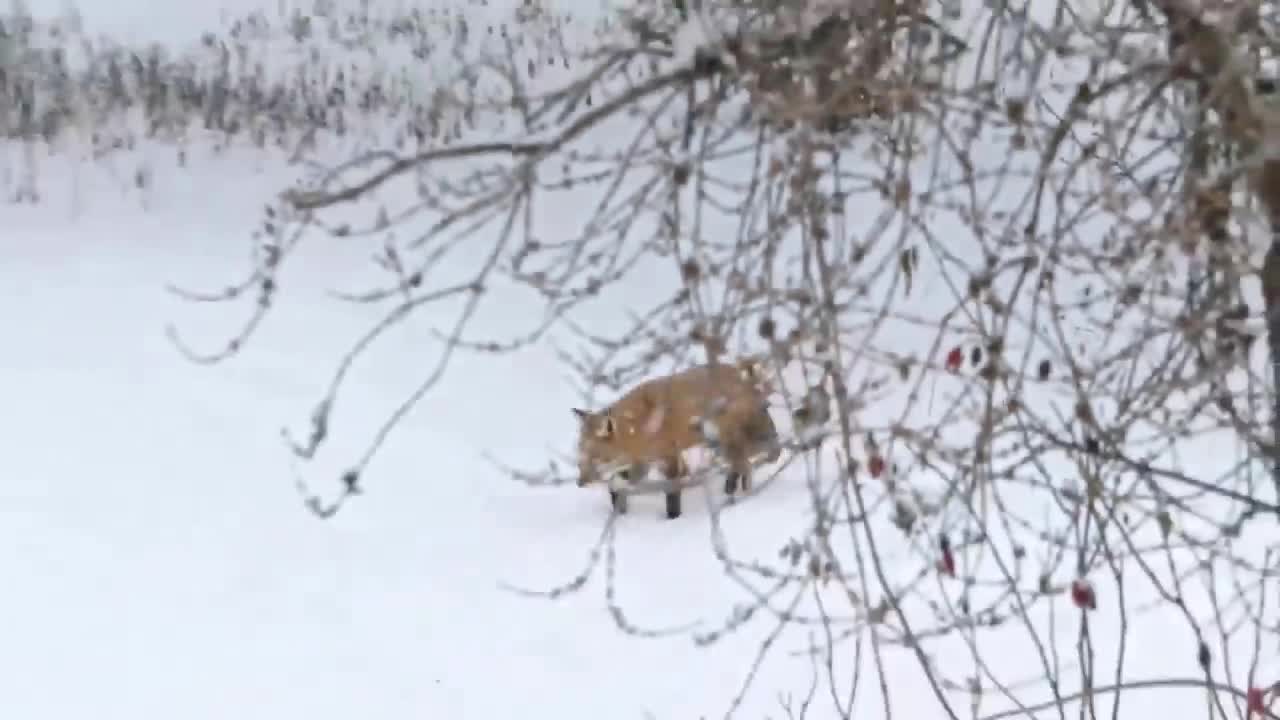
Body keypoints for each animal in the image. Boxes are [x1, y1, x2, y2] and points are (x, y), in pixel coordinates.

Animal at [570, 356, 778, 515]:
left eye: (595, 458)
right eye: (580, 457)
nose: (579, 483)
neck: (640, 428)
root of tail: (740, 374)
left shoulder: (668, 459)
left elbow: (672, 496)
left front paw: (673, 519)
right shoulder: (643, 462)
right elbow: (617, 481)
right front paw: (618, 505)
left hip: (730, 440)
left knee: (750, 462)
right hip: (720, 442)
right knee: (743, 464)